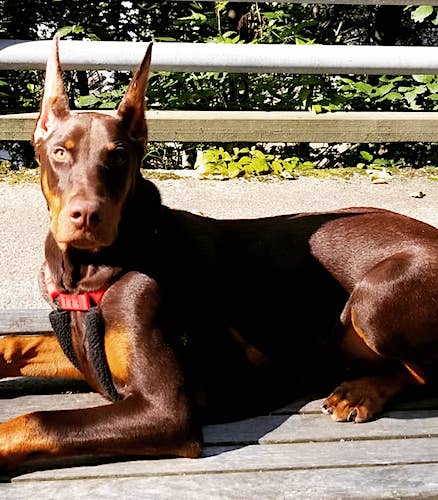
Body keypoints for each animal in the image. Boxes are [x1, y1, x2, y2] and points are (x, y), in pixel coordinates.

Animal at [0, 36, 438, 472]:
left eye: (119, 156)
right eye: (60, 152)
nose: (88, 215)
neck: (95, 270)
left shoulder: (165, 411)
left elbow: (36, 420)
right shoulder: (81, 352)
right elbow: (15, 343)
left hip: (373, 299)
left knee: (427, 373)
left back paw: (361, 392)